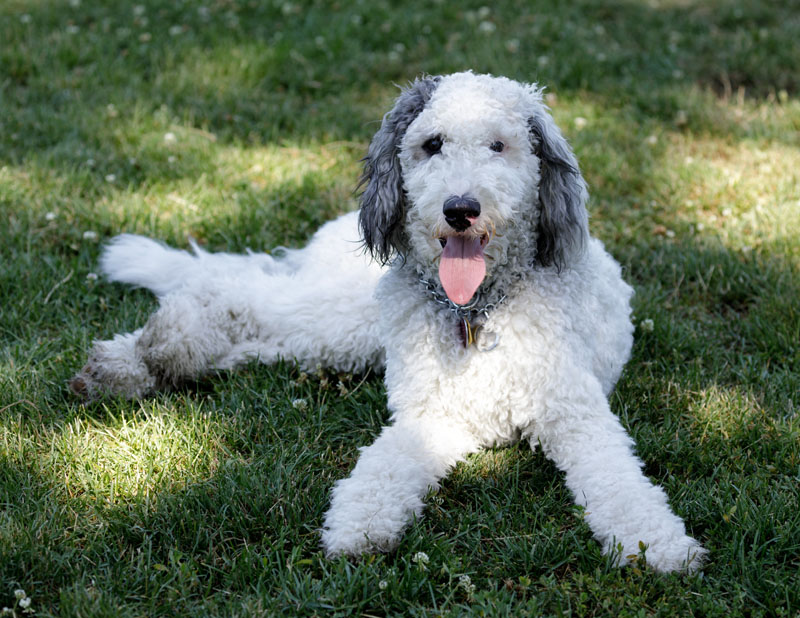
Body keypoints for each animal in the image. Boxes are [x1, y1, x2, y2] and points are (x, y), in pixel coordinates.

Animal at [70, 71, 708, 568]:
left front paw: (657, 545)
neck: (474, 313)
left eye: (500, 145)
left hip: (332, 340)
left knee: (252, 329)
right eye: (432, 144)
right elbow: (381, 469)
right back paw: (146, 352)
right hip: (344, 319)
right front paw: (358, 525)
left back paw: (141, 364)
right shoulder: (430, 413)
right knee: (234, 292)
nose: (459, 209)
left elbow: (621, 482)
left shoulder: (569, 415)